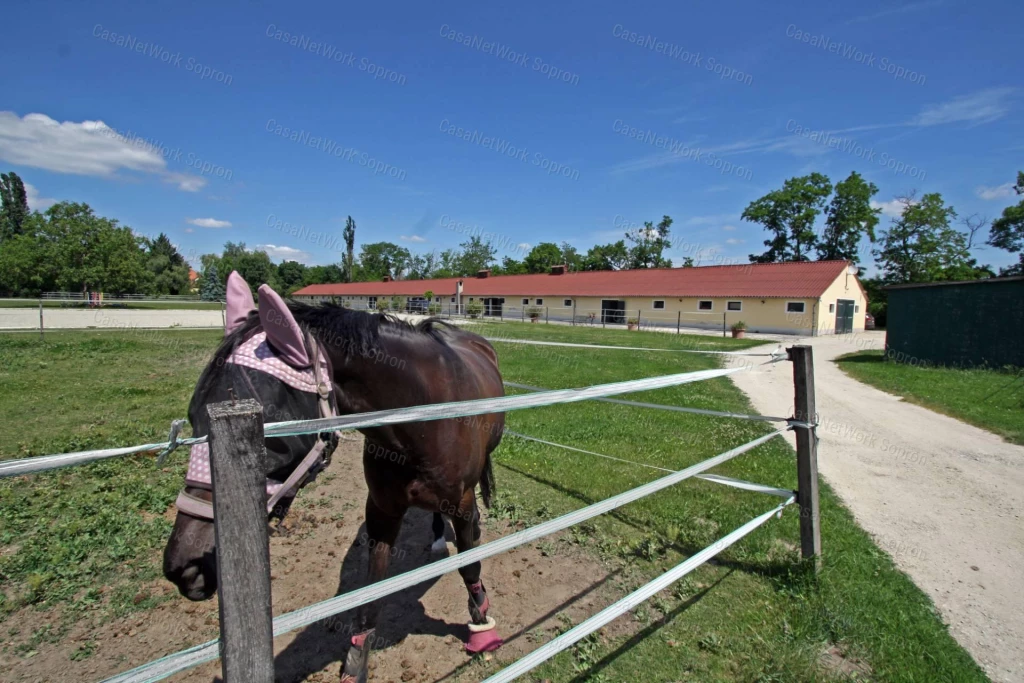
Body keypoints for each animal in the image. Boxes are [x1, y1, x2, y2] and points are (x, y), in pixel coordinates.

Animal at [160, 274, 507, 683]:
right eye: (193, 418)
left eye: (272, 435)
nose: (184, 567)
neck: (425, 420)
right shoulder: (382, 512)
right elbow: (372, 587)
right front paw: (356, 662)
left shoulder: (463, 503)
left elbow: (470, 563)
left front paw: (482, 626)